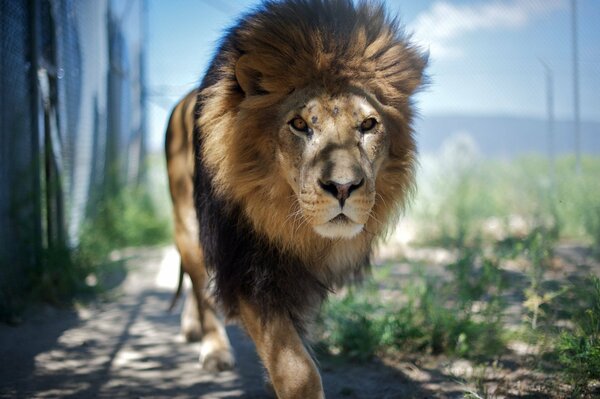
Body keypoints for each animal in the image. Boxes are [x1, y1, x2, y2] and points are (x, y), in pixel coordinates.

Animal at [164, 0, 426, 396]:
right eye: (300, 125)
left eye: (368, 125)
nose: (344, 187)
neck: (293, 226)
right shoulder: (247, 265)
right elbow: (296, 369)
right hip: (188, 221)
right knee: (199, 285)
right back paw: (213, 348)